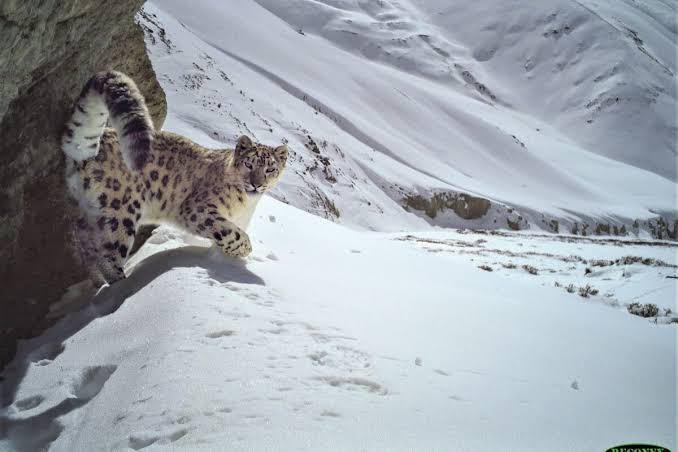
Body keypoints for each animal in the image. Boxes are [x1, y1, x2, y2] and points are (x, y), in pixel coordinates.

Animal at [62, 71, 287, 286]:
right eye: (249, 164)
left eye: (270, 169)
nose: (256, 184)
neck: (246, 206)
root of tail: (89, 151)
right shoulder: (197, 209)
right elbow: (231, 232)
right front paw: (244, 250)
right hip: (120, 213)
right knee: (108, 256)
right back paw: (121, 285)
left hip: (89, 213)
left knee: (86, 246)